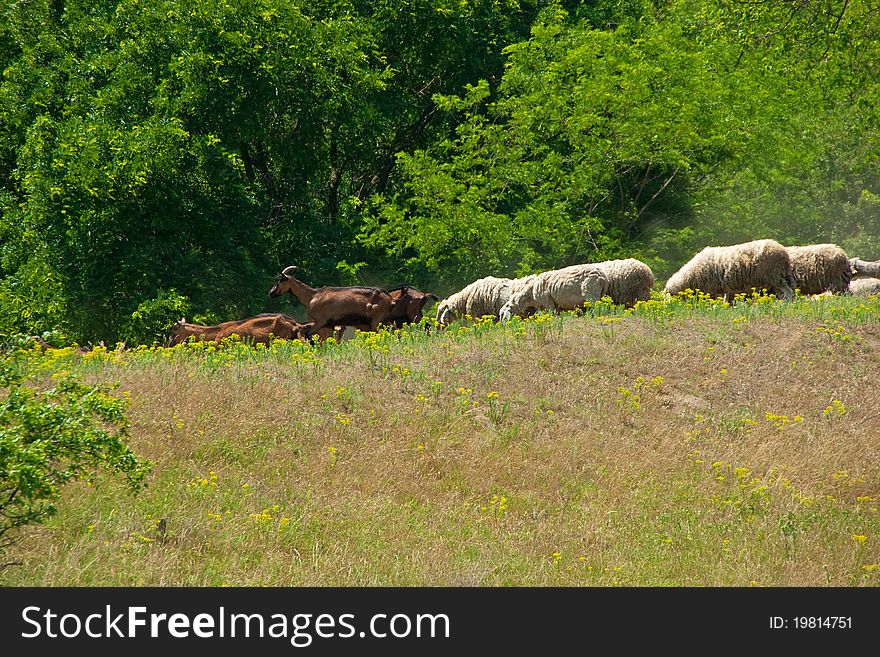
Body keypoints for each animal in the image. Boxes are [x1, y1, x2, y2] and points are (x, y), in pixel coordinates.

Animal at [266, 266, 394, 338]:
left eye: (279, 280)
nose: (271, 293)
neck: (312, 296)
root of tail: (390, 299)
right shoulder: (331, 324)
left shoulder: (320, 322)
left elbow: (308, 335)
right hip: (385, 320)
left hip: (375, 321)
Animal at [660, 238, 796, 302]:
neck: (690, 277)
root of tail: (783, 252)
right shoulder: (726, 290)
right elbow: (726, 301)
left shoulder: (711, 290)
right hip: (776, 280)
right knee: (784, 293)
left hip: (775, 276)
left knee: (789, 293)